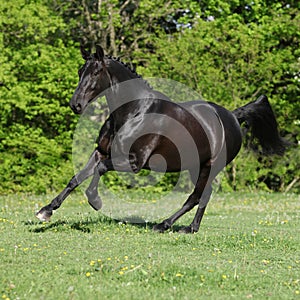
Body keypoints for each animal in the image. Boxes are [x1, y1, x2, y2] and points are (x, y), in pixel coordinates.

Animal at [36, 44, 288, 233]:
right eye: (81, 71)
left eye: (95, 72)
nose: (76, 105)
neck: (135, 111)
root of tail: (233, 117)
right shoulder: (102, 151)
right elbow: (76, 178)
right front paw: (45, 211)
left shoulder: (134, 162)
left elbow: (100, 169)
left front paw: (95, 201)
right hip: (197, 165)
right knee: (203, 196)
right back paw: (190, 228)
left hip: (211, 166)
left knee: (196, 196)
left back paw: (166, 224)